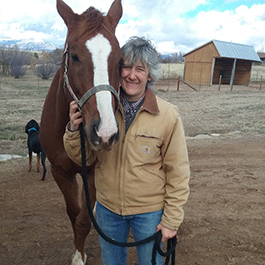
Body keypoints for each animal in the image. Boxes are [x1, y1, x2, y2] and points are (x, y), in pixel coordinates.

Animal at [39, 1, 121, 262]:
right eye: (74, 56)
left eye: (120, 60)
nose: (105, 132)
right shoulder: (60, 171)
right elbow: (74, 214)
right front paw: (78, 253)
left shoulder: (93, 172)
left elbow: (84, 220)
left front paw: (79, 257)